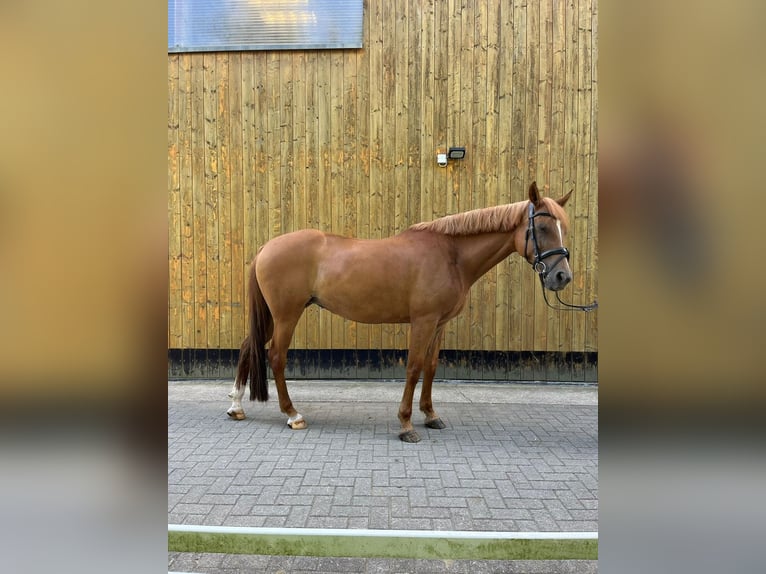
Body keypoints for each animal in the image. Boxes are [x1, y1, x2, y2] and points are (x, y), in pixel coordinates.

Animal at [228, 182, 576, 444]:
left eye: (564, 227)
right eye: (542, 226)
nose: (562, 277)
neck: (450, 255)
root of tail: (267, 247)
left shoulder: (439, 323)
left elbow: (431, 367)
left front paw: (431, 415)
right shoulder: (422, 322)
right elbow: (413, 367)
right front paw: (406, 425)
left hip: (271, 316)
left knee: (247, 347)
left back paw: (236, 406)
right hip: (286, 315)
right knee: (276, 357)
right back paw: (293, 414)